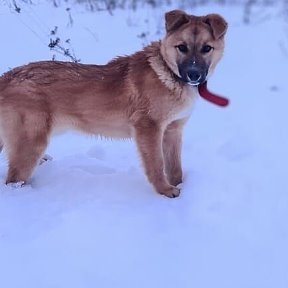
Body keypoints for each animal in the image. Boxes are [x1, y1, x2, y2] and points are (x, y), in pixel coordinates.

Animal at [0, 9, 227, 198]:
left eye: (207, 48)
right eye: (182, 47)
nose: (194, 75)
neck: (168, 73)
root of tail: (6, 78)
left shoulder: (173, 130)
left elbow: (175, 168)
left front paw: (180, 185)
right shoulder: (149, 129)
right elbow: (156, 165)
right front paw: (165, 191)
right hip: (31, 143)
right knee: (13, 181)